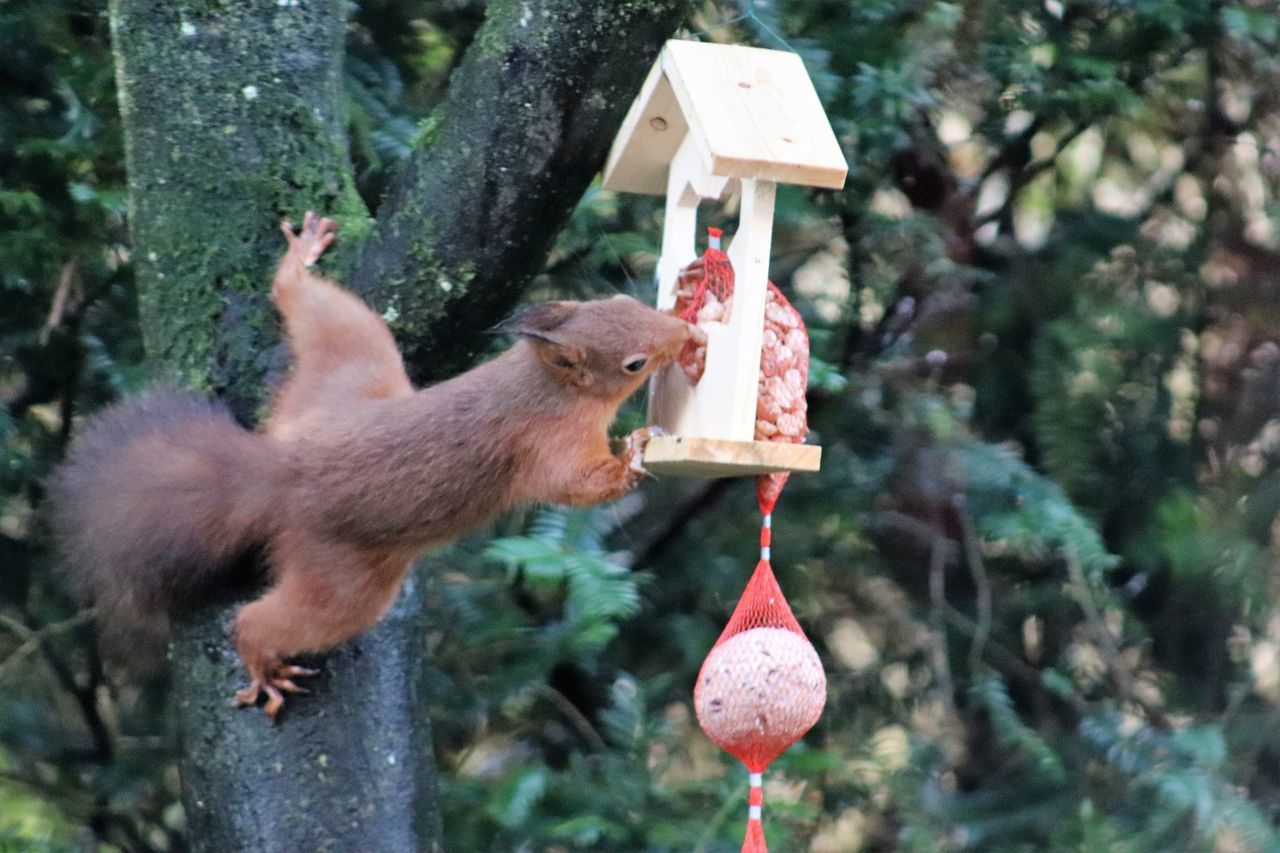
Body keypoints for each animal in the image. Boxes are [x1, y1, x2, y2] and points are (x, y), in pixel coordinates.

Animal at [52, 212, 701, 717]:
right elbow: (579, 486)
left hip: (350, 367)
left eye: (622, 300)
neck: (537, 382)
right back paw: (262, 661)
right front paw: (635, 454)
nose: (685, 331)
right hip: (345, 580)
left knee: (322, 312)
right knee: (273, 618)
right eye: (634, 364)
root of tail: (282, 473)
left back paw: (298, 263)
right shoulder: (544, 446)